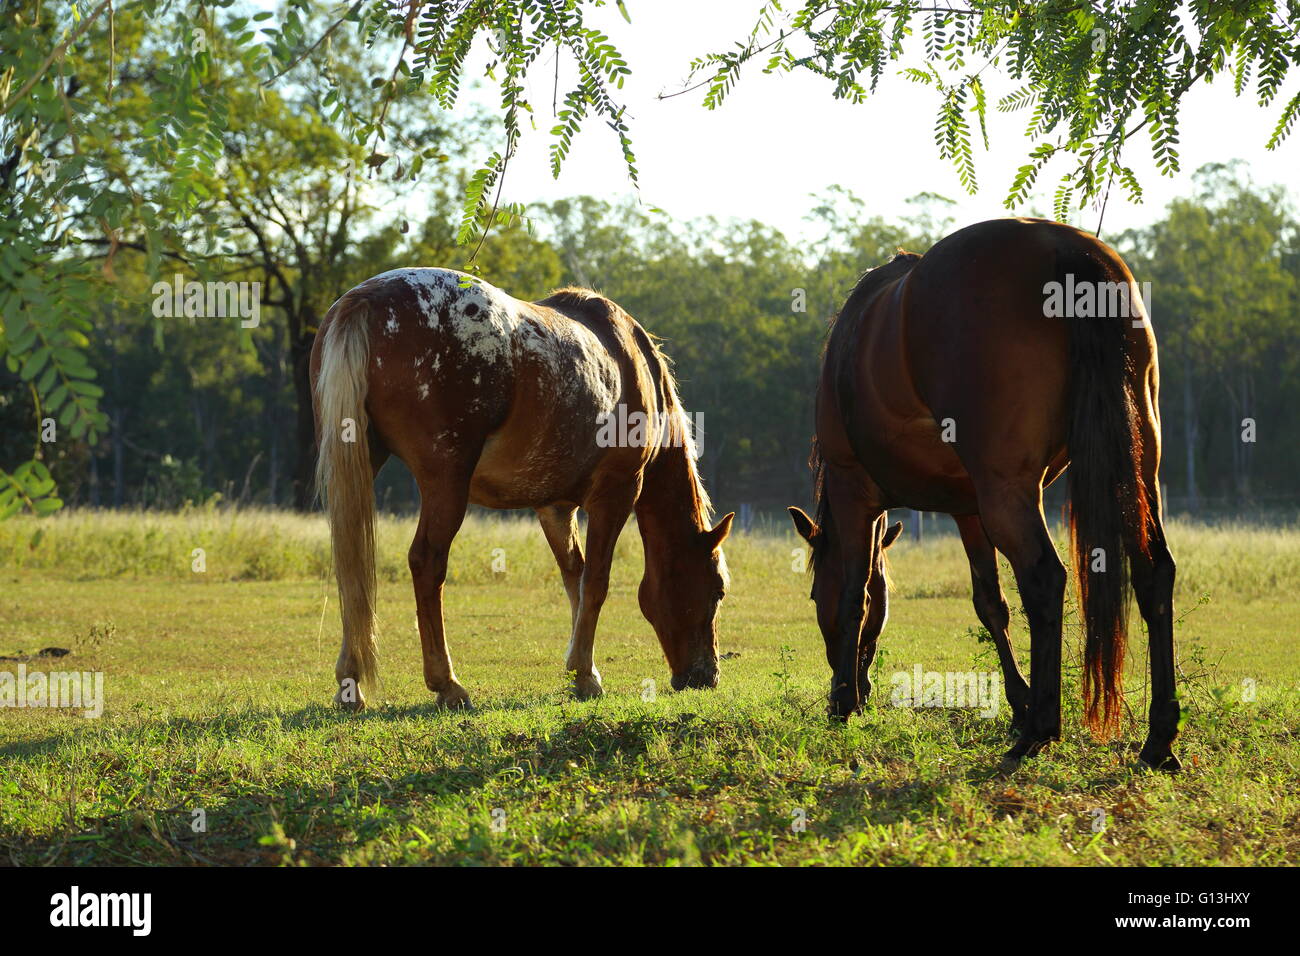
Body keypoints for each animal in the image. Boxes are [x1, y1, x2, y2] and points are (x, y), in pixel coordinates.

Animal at [310, 268, 733, 712]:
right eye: (718, 590)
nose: (706, 677)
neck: (632, 362)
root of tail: (367, 297)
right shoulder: (615, 494)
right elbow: (596, 582)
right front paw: (584, 674)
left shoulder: (555, 507)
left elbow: (574, 577)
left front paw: (584, 672)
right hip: (446, 483)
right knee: (427, 562)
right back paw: (447, 684)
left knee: (350, 565)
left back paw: (351, 683)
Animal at [787, 218, 1180, 770]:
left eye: (811, 593)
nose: (855, 687)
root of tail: (1061, 246)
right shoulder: (968, 511)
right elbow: (990, 604)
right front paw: (1018, 702)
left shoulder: (853, 493)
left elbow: (855, 595)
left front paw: (842, 701)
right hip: (1137, 471)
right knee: (1153, 572)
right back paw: (1158, 738)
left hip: (1009, 493)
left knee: (1045, 578)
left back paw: (1041, 730)